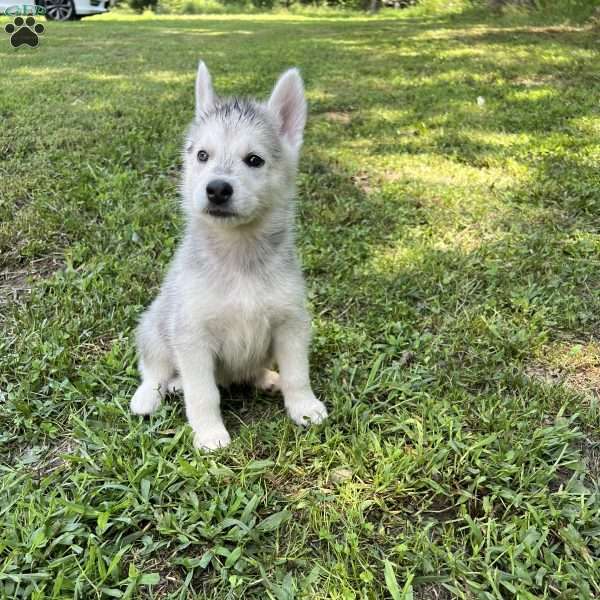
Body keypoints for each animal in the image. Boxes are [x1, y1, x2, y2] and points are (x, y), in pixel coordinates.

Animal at [130, 63, 328, 452]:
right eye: (202, 155)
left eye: (254, 160)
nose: (217, 189)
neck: (240, 256)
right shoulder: (192, 335)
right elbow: (203, 393)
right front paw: (209, 433)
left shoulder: (291, 323)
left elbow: (298, 374)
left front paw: (303, 406)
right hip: (155, 326)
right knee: (155, 367)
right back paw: (154, 393)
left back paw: (266, 377)